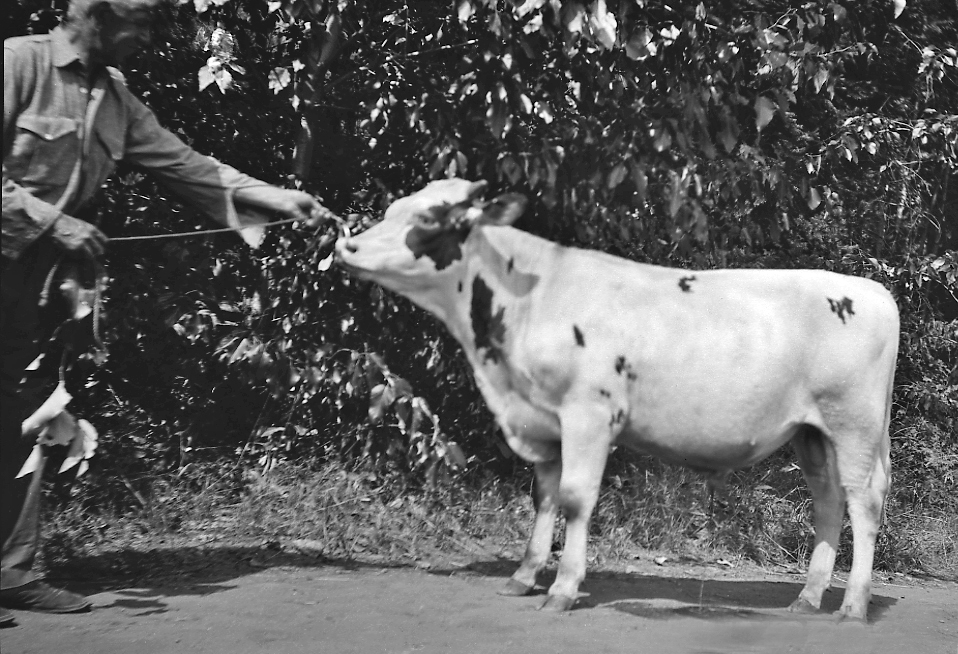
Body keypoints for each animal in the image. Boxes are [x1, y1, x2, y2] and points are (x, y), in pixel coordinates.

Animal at [336, 181, 900, 624]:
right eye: (394, 207)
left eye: (429, 218)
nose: (349, 246)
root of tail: (871, 290)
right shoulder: (542, 421)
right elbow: (543, 496)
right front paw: (524, 576)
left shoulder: (588, 414)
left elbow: (575, 498)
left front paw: (563, 589)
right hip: (812, 432)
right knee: (828, 501)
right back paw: (807, 598)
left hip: (854, 423)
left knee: (864, 501)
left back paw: (853, 605)